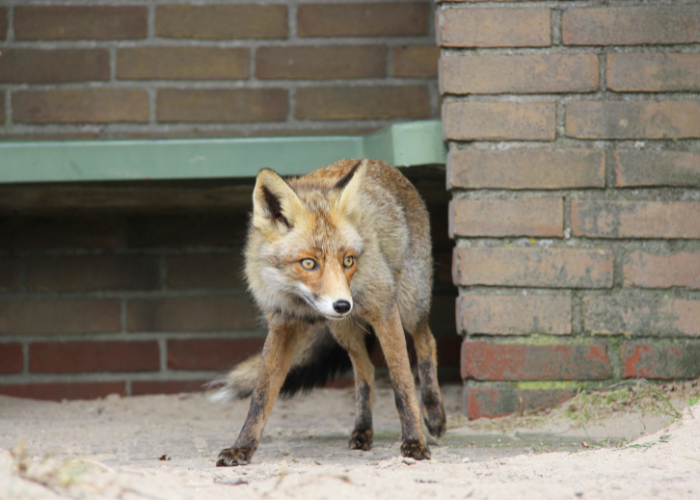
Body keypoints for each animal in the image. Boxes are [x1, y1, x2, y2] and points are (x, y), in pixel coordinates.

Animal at [213, 159, 446, 464]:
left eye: (348, 260)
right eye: (309, 263)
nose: (343, 305)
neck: (301, 301)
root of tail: (387, 167)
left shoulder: (383, 308)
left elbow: (402, 383)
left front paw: (415, 441)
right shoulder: (283, 324)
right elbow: (261, 395)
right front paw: (242, 447)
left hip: (408, 304)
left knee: (426, 341)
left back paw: (433, 412)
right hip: (342, 329)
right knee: (365, 369)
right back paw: (362, 430)